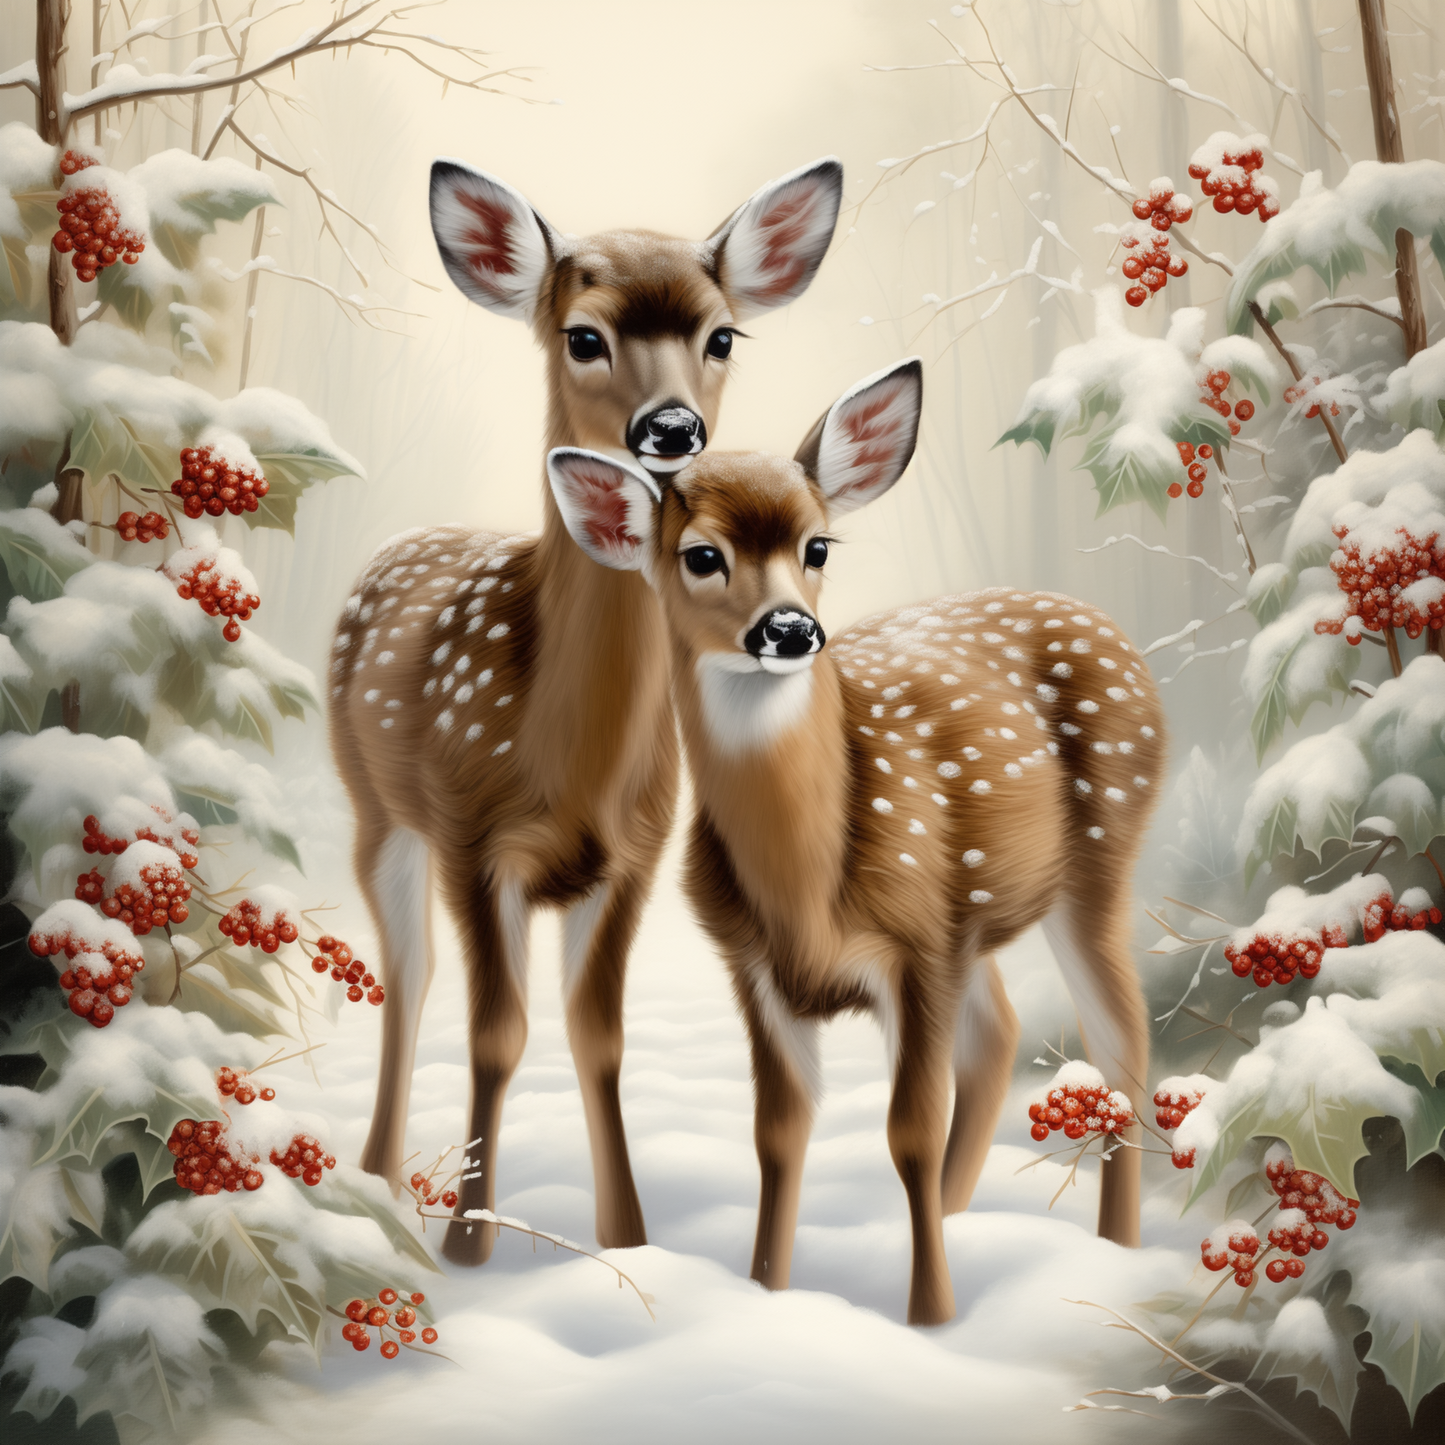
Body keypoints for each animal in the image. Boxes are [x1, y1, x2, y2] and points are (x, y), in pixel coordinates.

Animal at [328, 156, 844, 1265]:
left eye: (721, 335)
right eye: (582, 334)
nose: (672, 430)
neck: (566, 750)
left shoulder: (633, 854)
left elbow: (595, 1035)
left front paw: (627, 1239)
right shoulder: (472, 837)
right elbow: (495, 1030)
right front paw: (468, 1243)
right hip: (377, 810)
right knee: (406, 975)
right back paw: (377, 1175)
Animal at [543, 357, 1167, 1325]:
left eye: (818, 547)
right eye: (701, 555)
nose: (790, 629)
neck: (804, 881)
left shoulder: (915, 949)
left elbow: (907, 1130)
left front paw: (930, 1316)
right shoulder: (758, 966)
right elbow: (776, 1134)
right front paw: (768, 1289)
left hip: (1098, 856)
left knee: (1122, 1047)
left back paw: (1113, 1249)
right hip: (974, 919)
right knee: (1000, 1035)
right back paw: (955, 1216)